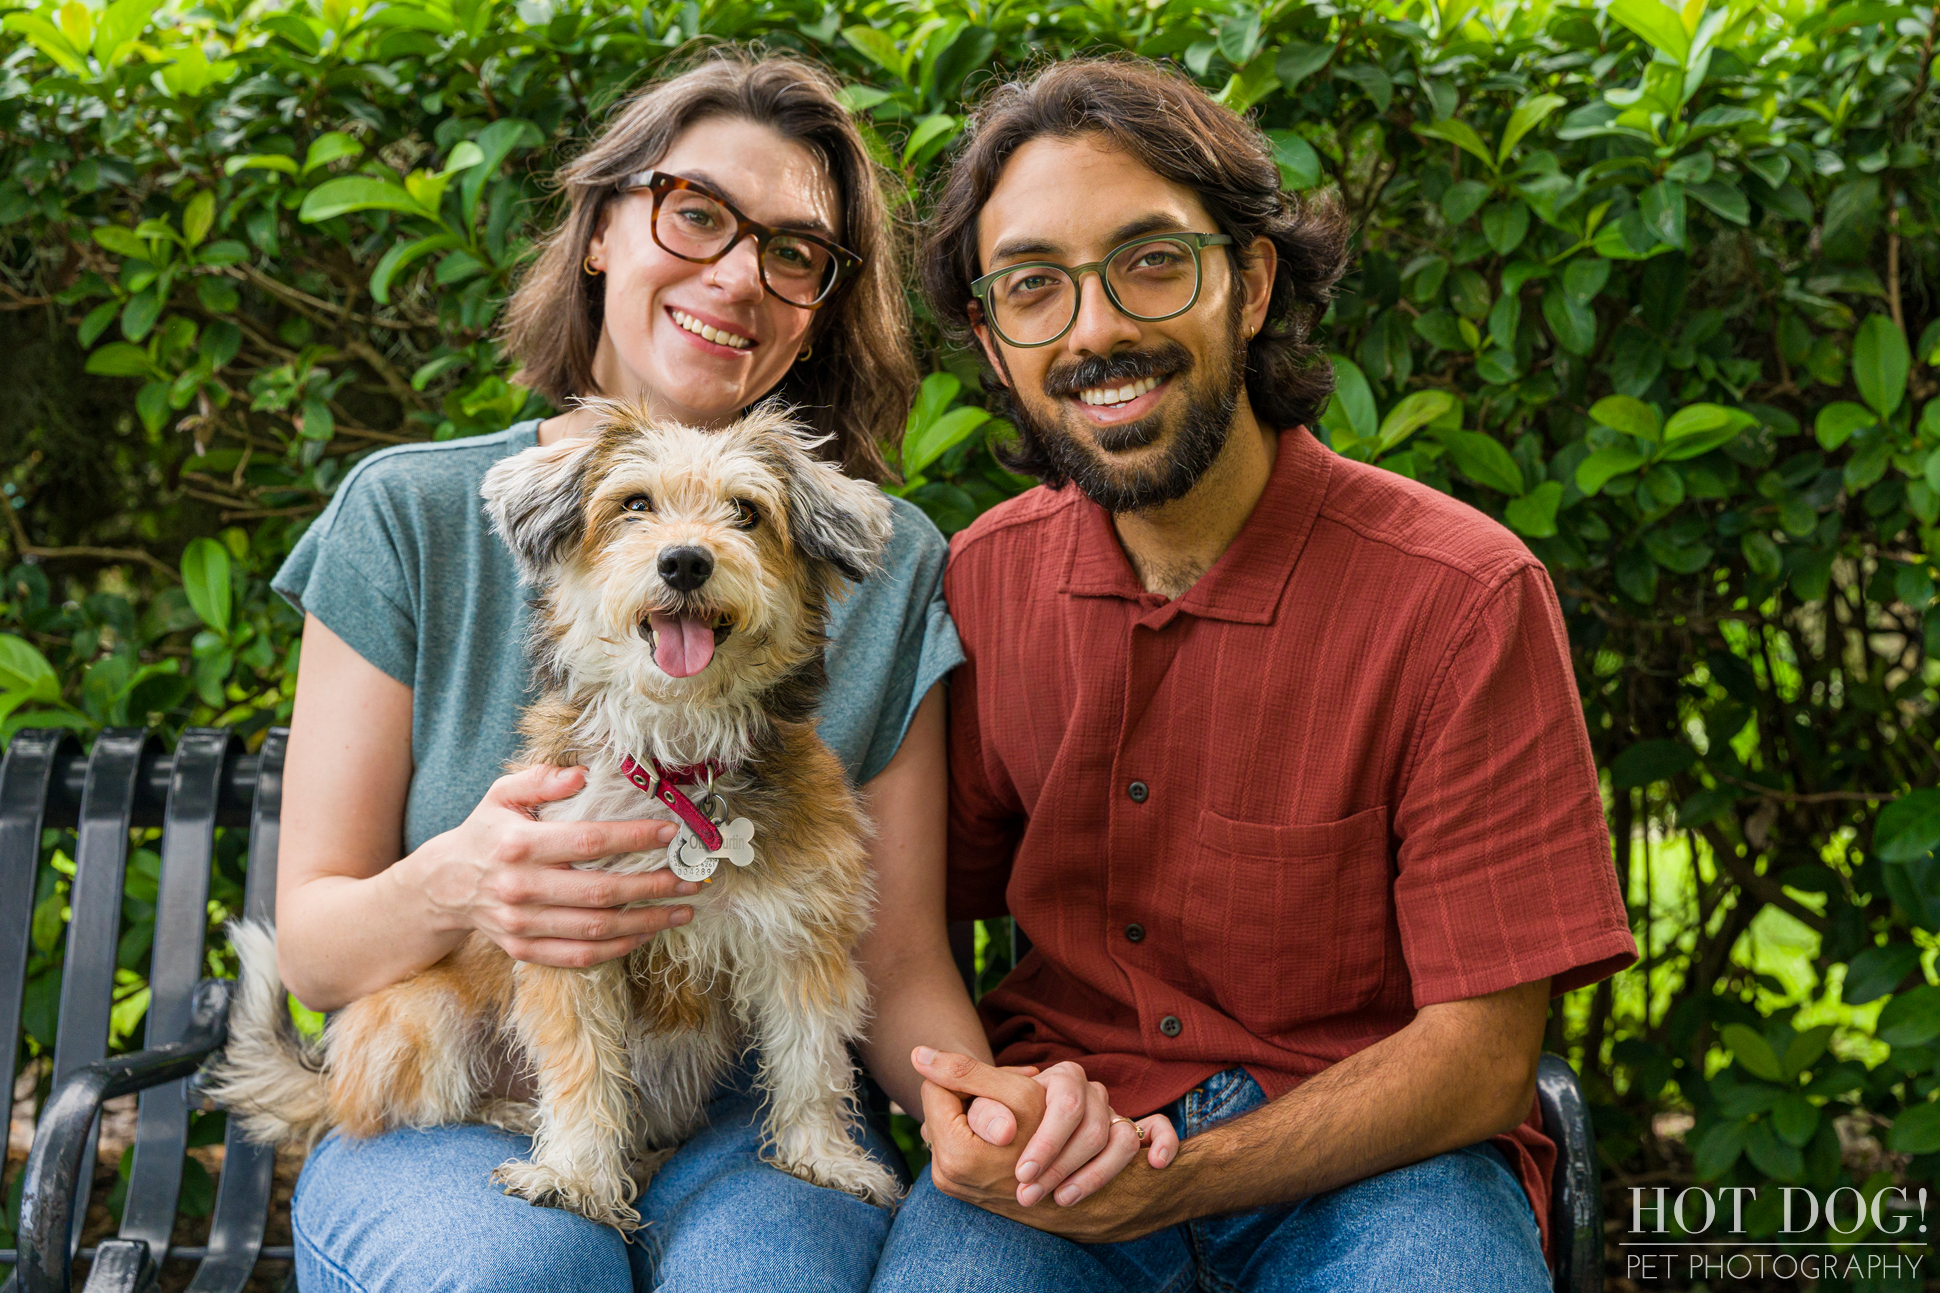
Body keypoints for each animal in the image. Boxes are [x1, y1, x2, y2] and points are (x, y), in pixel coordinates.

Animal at [208, 397, 904, 1226]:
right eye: (634, 505)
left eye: (747, 511)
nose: (685, 562)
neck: (676, 759)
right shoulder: (567, 942)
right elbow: (582, 1064)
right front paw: (574, 1173)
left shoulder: (801, 938)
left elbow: (810, 1060)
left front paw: (822, 1157)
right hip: (425, 1011)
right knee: (432, 1101)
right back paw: (515, 1113)